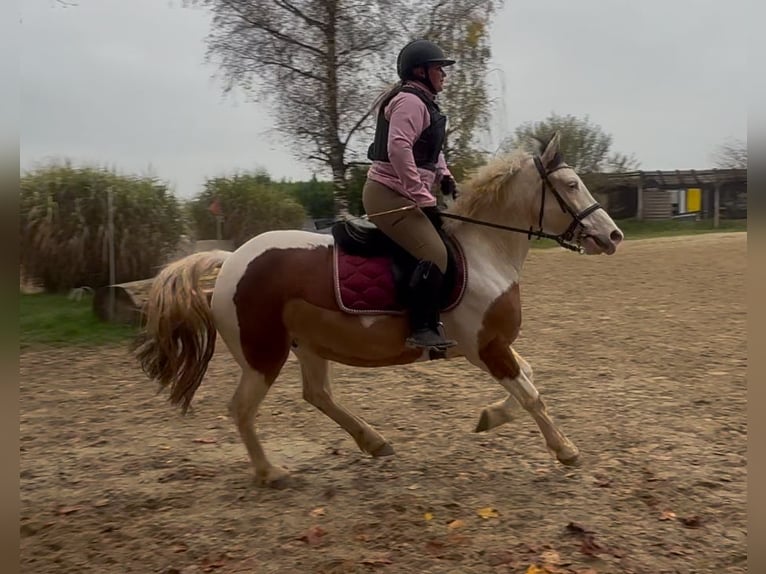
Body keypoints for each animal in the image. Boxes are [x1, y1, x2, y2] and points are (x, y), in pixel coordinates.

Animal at [134, 133, 624, 488]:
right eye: (571, 185)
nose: (614, 236)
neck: (485, 251)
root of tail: (231, 259)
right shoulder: (486, 346)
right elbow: (531, 394)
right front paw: (565, 450)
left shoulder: (493, 346)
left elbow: (530, 380)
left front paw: (489, 418)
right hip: (263, 356)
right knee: (242, 409)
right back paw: (271, 473)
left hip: (306, 345)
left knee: (317, 394)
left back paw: (373, 442)